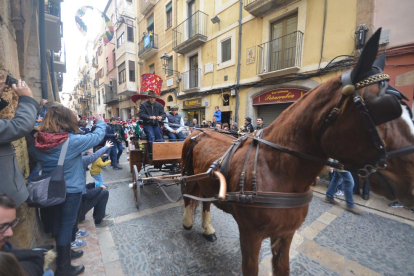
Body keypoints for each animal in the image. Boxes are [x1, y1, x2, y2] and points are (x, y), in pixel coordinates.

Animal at [180, 29, 414, 274]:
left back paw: (208, 229)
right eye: (384, 108)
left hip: (206, 181)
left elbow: (283, 267)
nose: (413, 182)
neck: (276, 170)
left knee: (205, 200)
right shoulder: (250, 236)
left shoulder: (286, 234)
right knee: (187, 196)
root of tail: (200, 131)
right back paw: (187, 222)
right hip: (187, 174)